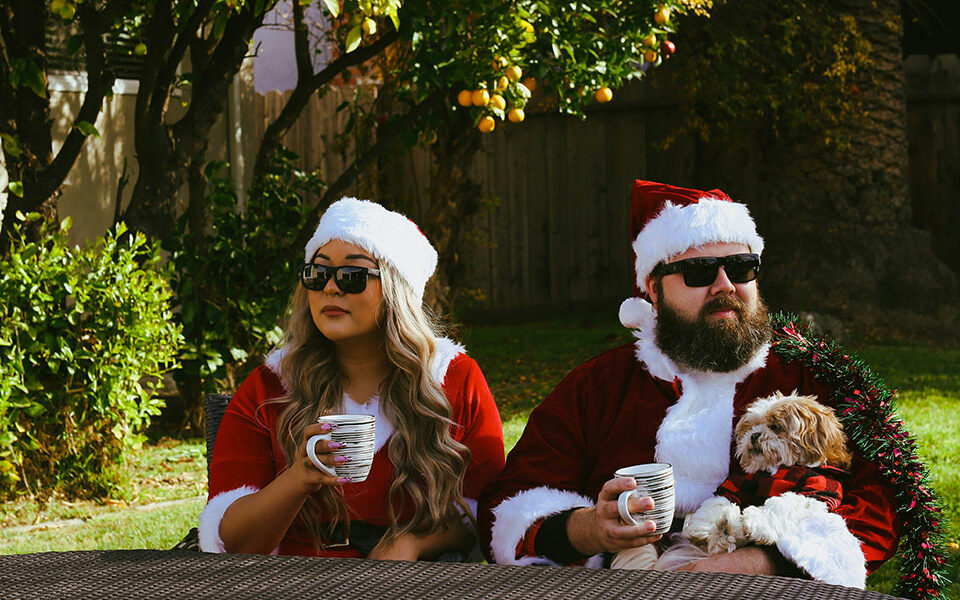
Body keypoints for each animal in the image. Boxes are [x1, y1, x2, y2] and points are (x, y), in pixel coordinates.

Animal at [680, 392, 852, 556]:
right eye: (753, 426)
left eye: (775, 426)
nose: (754, 435)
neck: (778, 467)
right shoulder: (738, 482)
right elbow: (719, 502)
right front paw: (702, 528)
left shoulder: (819, 490)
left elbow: (785, 502)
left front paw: (757, 522)